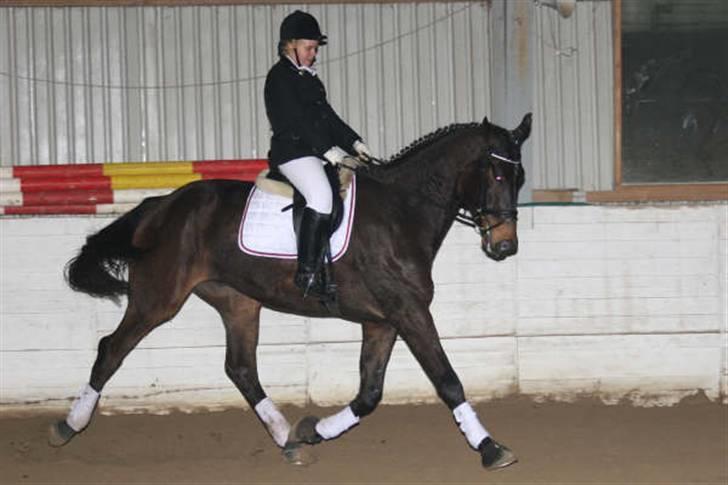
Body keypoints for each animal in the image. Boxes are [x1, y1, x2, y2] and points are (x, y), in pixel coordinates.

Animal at [49, 112, 528, 468]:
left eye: (519, 177)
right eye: (495, 173)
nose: (505, 246)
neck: (401, 212)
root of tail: (160, 206)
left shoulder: (383, 321)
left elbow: (369, 394)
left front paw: (314, 430)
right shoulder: (408, 312)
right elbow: (447, 380)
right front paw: (490, 448)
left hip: (238, 302)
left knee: (241, 368)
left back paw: (288, 439)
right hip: (158, 299)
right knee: (112, 348)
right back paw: (69, 426)